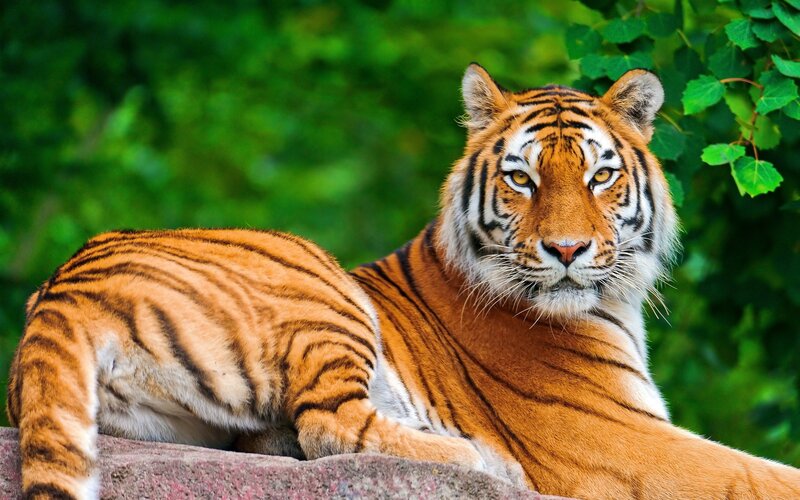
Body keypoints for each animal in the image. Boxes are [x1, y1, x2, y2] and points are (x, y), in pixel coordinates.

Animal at [7, 64, 800, 499]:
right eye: (522, 178)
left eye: (600, 177)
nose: (568, 250)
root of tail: (62, 288)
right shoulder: (617, 440)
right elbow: (760, 475)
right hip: (318, 281)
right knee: (328, 424)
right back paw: (479, 462)